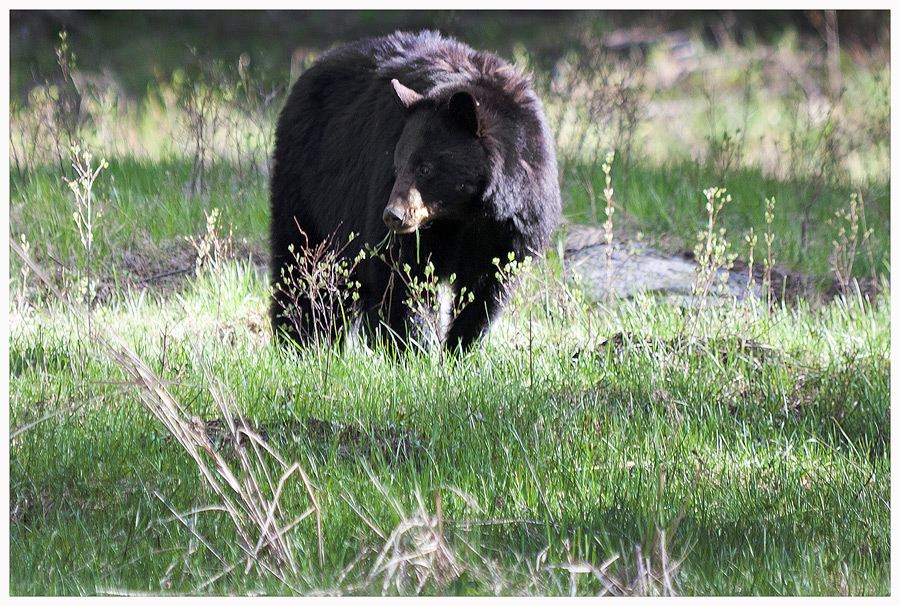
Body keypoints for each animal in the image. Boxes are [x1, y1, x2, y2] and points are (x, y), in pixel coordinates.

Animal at [270, 33, 560, 354]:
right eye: (397, 165)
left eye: (425, 168)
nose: (393, 216)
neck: (465, 211)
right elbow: (404, 275)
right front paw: (414, 349)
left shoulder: (509, 226)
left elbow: (486, 289)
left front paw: (461, 349)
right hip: (307, 184)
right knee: (303, 263)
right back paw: (300, 339)